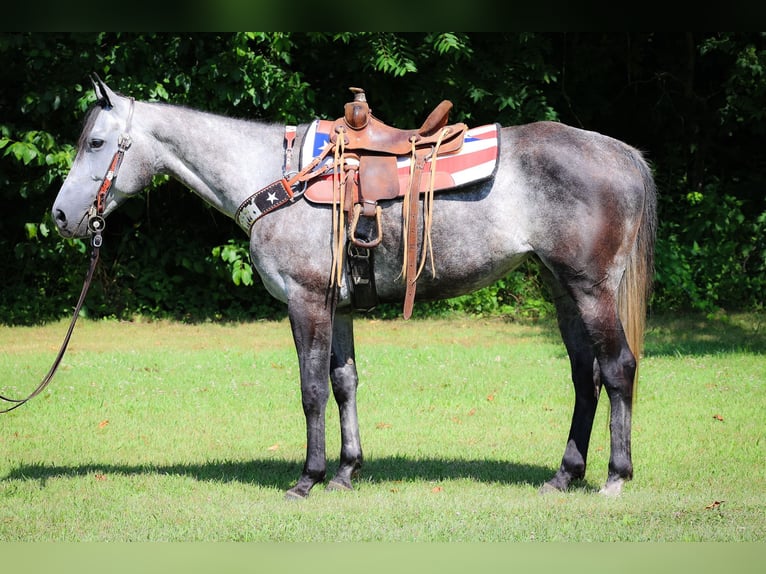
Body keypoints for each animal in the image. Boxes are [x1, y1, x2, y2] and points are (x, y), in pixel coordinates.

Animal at [52, 76, 656, 499]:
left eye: (97, 142)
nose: (59, 216)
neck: (280, 179)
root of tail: (622, 153)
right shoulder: (336, 306)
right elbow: (344, 383)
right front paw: (346, 470)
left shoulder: (306, 301)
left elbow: (311, 389)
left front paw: (308, 477)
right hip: (562, 289)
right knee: (585, 377)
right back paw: (564, 475)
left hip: (591, 288)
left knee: (617, 368)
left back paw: (615, 476)